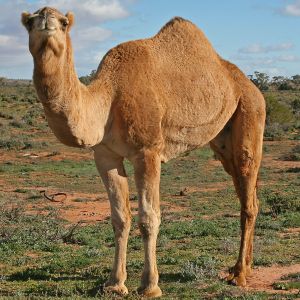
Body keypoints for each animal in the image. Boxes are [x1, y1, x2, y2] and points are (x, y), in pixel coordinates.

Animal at [20, 7, 264, 298]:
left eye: (65, 22)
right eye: (29, 22)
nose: (47, 18)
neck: (108, 98)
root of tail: (251, 85)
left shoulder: (147, 151)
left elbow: (148, 218)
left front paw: (150, 285)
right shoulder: (105, 155)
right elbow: (119, 217)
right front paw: (115, 283)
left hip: (250, 113)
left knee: (248, 194)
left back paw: (239, 275)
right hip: (223, 140)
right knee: (246, 193)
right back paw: (244, 267)